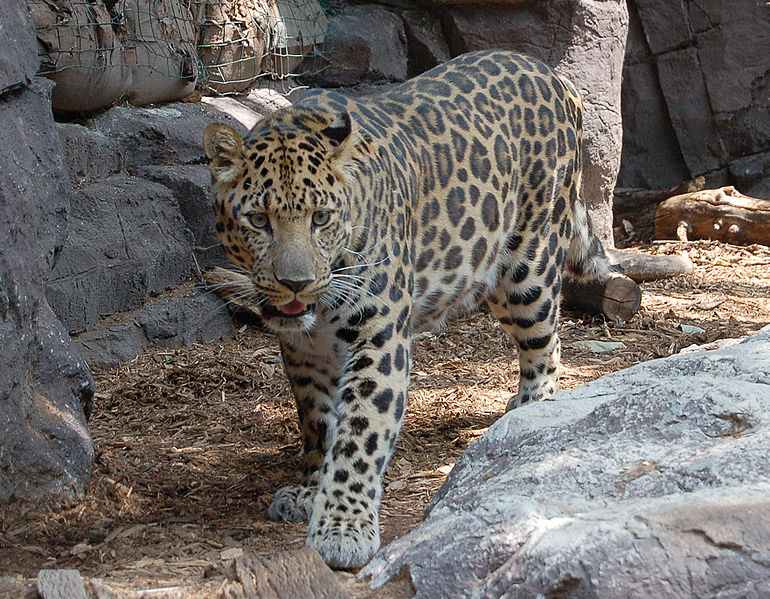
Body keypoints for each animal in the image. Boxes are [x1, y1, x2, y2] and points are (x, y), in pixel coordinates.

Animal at [203, 50, 608, 569]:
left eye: (321, 218)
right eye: (258, 220)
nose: (296, 284)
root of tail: (550, 73)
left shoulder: (379, 333)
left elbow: (360, 431)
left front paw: (343, 528)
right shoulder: (304, 351)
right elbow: (318, 422)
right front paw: (310, 490)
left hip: (527, 266)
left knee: (547, 341)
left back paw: (531, 411)